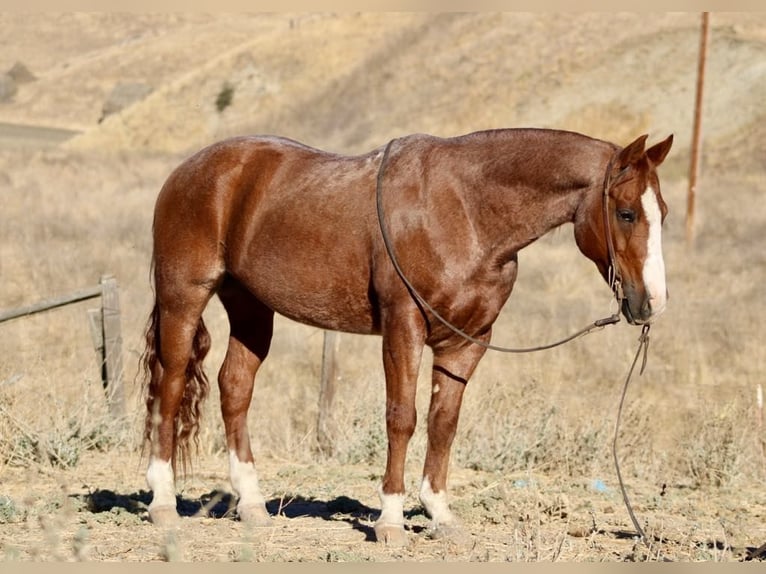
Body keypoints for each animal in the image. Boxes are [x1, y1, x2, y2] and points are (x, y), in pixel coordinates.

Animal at [140, 128, 673, 545]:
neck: (466, 210)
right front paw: (391, 520)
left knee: (235, 388)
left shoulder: (468, 341)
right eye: (626, 213)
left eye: (663, 212)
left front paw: (440, 514)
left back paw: (252, 505)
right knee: (170, 387)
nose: (652, 303)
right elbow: (402, 419)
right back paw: (163, 503)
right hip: (183, 298)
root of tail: (189, 170)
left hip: (251, 308)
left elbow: (443, 423)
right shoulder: (403, 326)